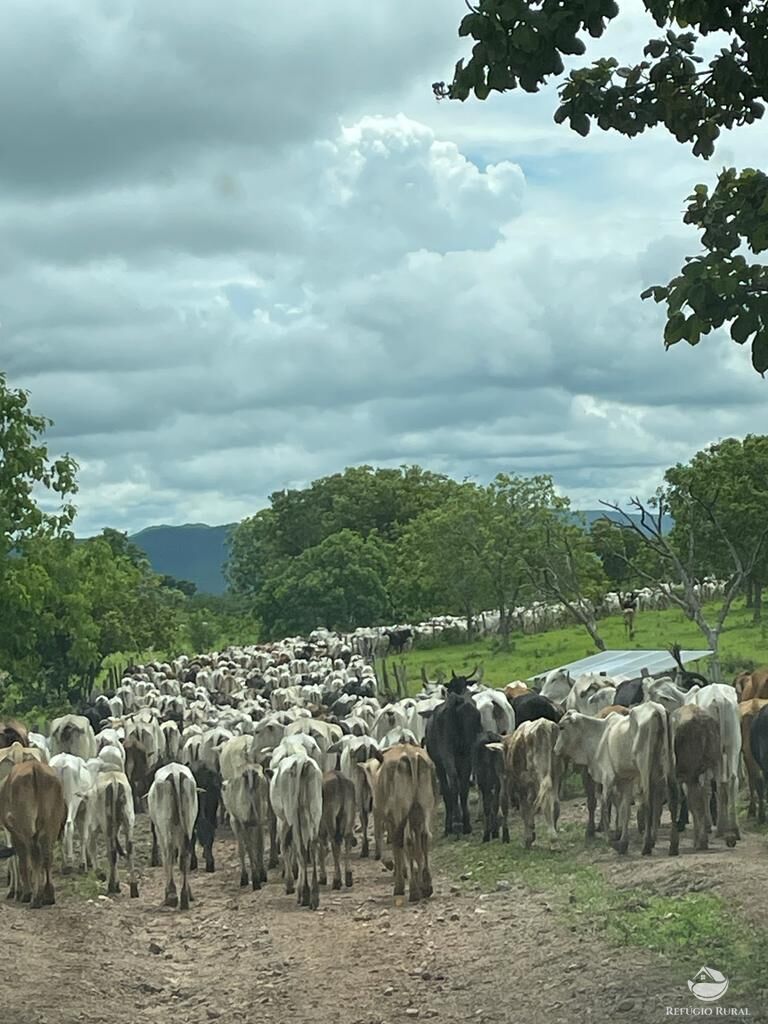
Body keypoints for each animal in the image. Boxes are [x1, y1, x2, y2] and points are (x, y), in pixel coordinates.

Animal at [0, 761, 66, 905]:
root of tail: (36, 767)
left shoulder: (15, 834)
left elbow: (21, 862)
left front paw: (22, 892)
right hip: (52, 824)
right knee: (47, 856)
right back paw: (48, 895)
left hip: (26, 826)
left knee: (34, 854)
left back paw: (34, 897)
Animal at [423, 675, 483, 835]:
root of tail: (456, 701)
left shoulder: (438, 763)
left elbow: (446, 789)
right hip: (467, 754)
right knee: (463, 785)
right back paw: (466, 823)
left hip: (447, 753)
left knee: (453, 780)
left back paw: (454, 824)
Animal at [671, 704, 724, 856]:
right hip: (716, 758)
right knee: (721, 789)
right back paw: (729, 836)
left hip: (691, 769)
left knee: (696, 801)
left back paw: (701, 843)